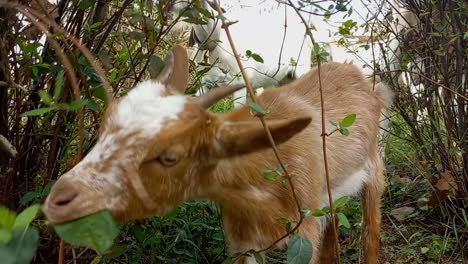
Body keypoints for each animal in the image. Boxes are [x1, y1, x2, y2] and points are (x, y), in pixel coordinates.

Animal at [43, 44, 392, 262]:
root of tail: (363, 79)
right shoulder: (241, 241)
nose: (59, 200)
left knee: (371, 237)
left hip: (374, 173)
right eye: (105, 129)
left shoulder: (303, 235)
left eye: (170, 157)